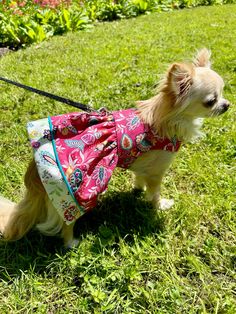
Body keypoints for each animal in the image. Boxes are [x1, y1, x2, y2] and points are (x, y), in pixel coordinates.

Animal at [0, 49, 230, 247]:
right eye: (211, 101)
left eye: (223, 93)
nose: (227, 105)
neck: (167, 121)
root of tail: (34, 169)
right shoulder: (157, 172)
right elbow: (155, 193)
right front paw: (159, 206)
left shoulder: (144, 164)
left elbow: (139, 177)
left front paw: (137, 190)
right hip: (74, 193)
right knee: (67, 220)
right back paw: (71, 242)